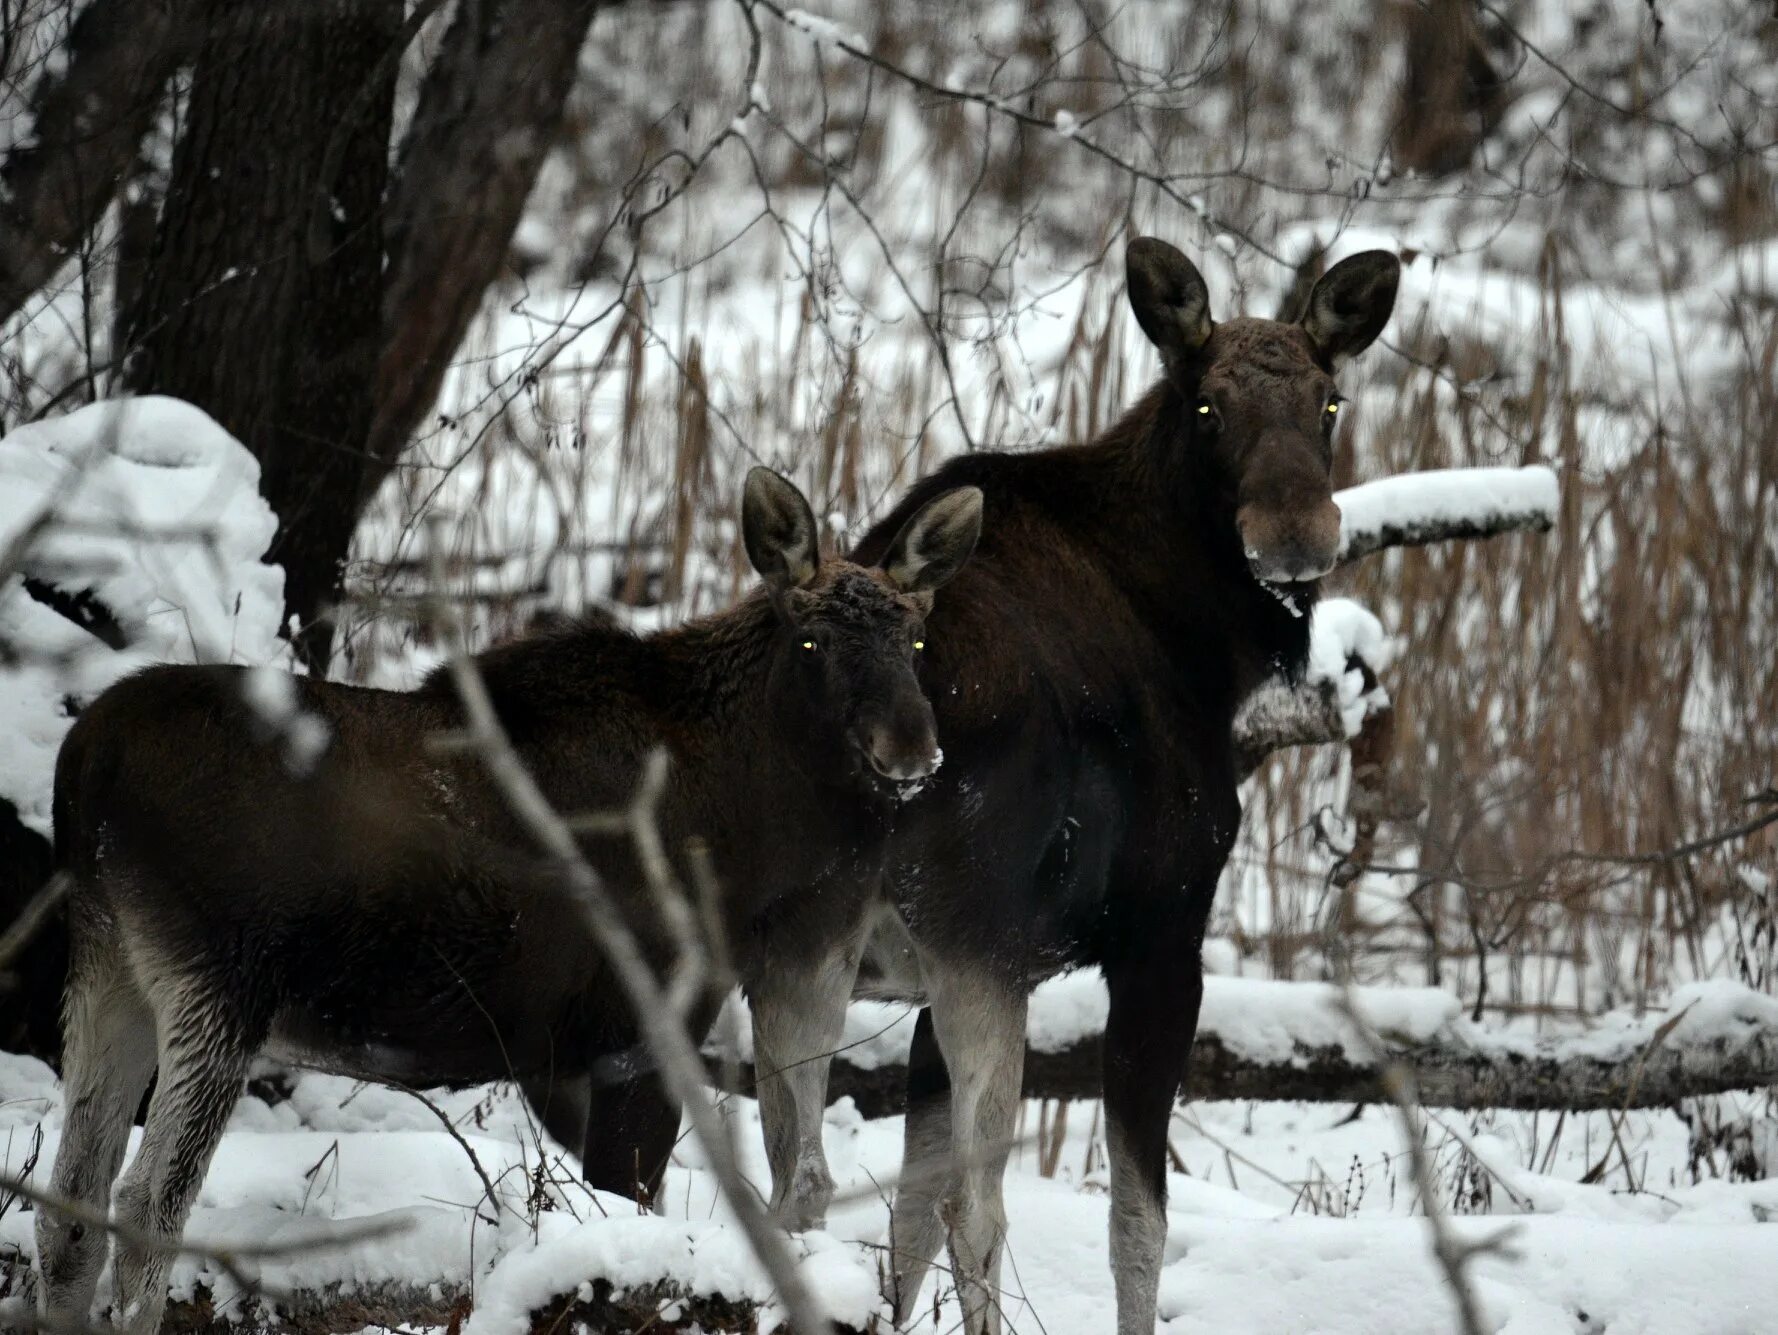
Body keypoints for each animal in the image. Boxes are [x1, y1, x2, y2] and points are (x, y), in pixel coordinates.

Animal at [821, 243, 1401, 1335]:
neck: (1206, 643)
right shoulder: (1159, 937)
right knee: (979, 1210)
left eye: (1330, 400)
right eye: (1207, 403)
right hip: (978, 951)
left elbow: (903, 1222)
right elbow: (1135, 1222)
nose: (1295, 534)